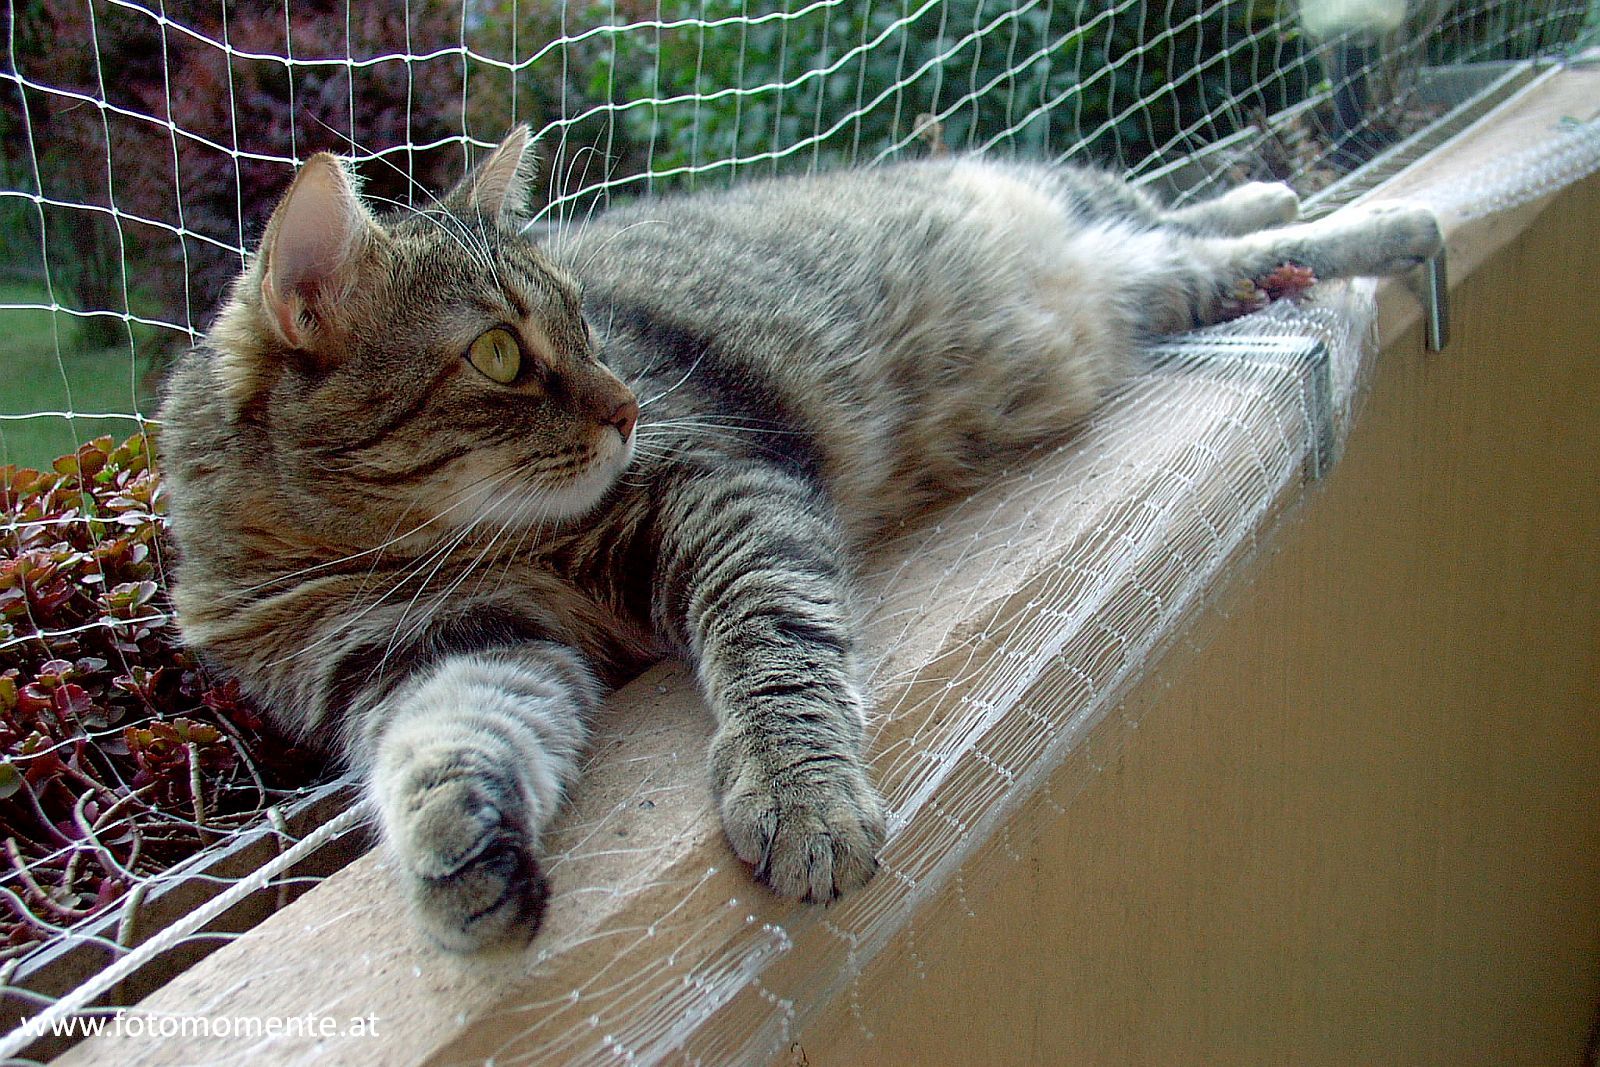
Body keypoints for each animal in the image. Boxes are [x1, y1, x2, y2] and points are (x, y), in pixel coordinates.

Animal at [159, 125, 1440, 953]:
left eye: (585, 324)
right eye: (499, 354)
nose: (625, 406)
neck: (383, 545)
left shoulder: (720, 488)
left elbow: (773, 643)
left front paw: (802, 790)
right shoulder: (438, 651)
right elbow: (447, 741)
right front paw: (456, 852)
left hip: (1119, 232)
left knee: (1201, 219)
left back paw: (1363, 214)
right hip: (1149, 277)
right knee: (1198, 235)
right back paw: (1277, 206)